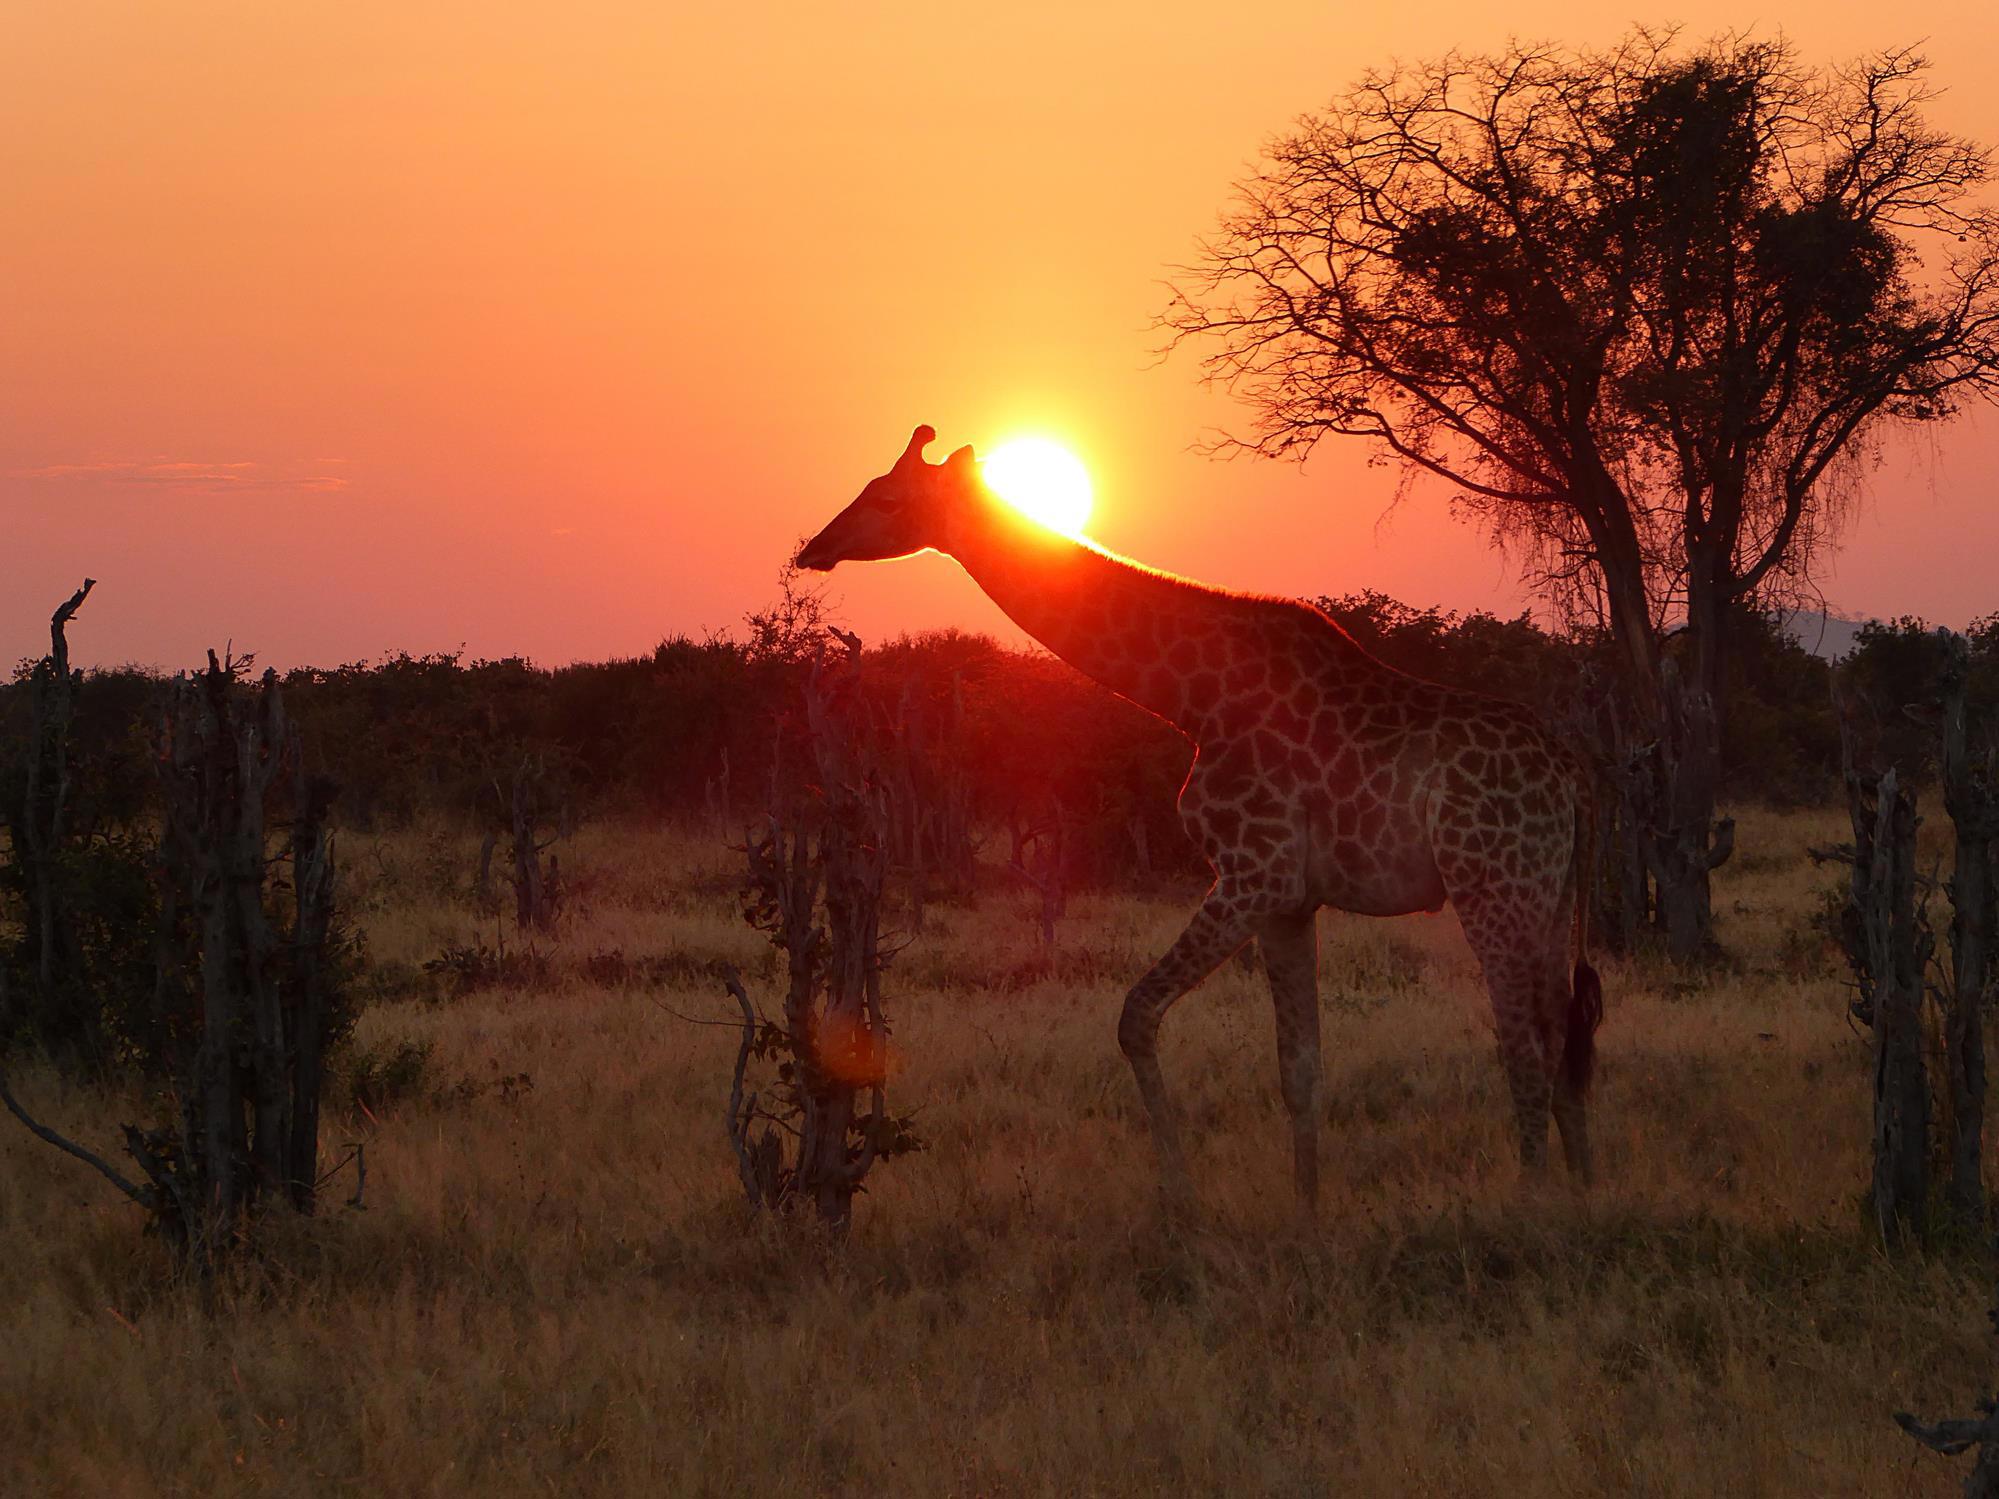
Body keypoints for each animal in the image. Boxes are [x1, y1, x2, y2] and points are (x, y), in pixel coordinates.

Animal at [796, 426, 1604, 1207]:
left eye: (888, 496)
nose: (813, 548)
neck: (1190, 697)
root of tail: (1571, 778)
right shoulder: (1289, 900)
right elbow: (1299, 1067)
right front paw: (1306, 1213)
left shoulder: (1252, 875)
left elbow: (1136, 1016)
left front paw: (1180, 1199)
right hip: (1547, 894)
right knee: (1562, 1029)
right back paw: (1581, 1196)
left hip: (1491, 886)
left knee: (1525, 1041)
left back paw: (1532, 1203)